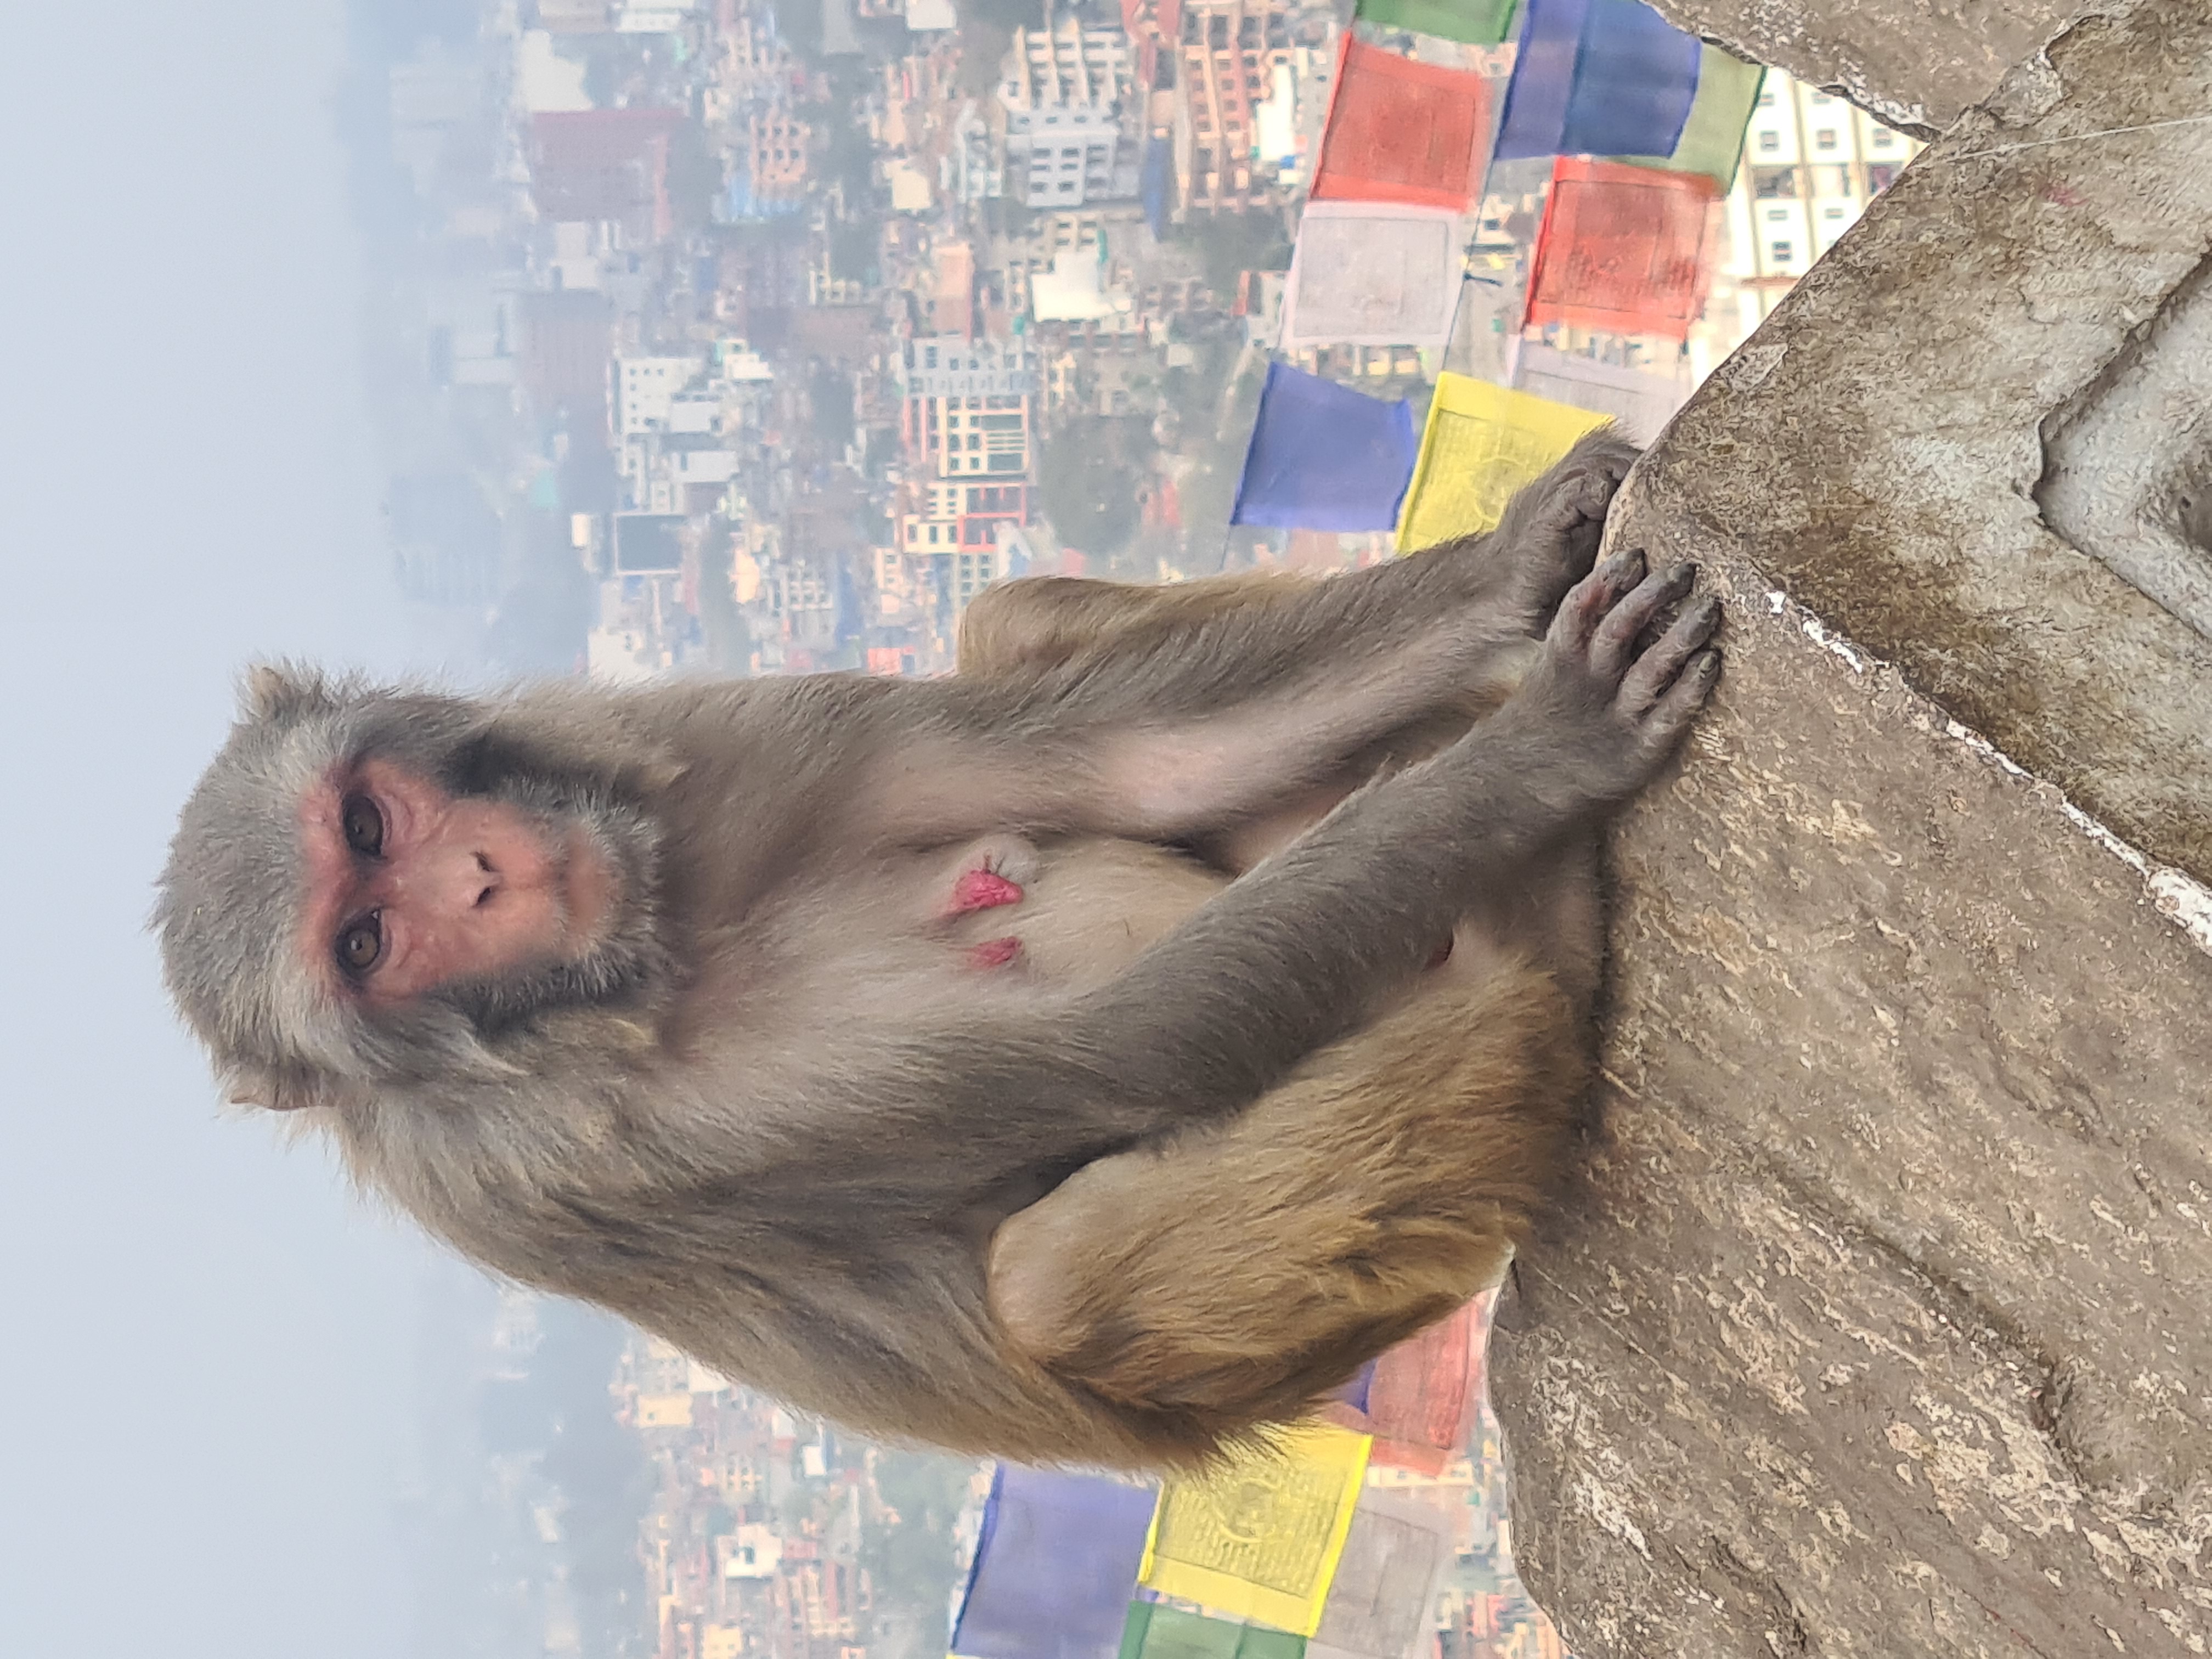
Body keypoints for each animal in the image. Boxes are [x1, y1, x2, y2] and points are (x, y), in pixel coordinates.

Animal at [154, 432, 1722, 1468]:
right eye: (367, 939)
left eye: (369, 822)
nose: (481, 879)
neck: (646, 967)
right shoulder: (592, 1144)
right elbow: (1132, 1047)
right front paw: (1543, 755)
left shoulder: (690, 755)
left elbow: (1131, 763)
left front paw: (1518, 564)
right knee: (1053, 1281)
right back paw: (1531, 939)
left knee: (1012, 620)